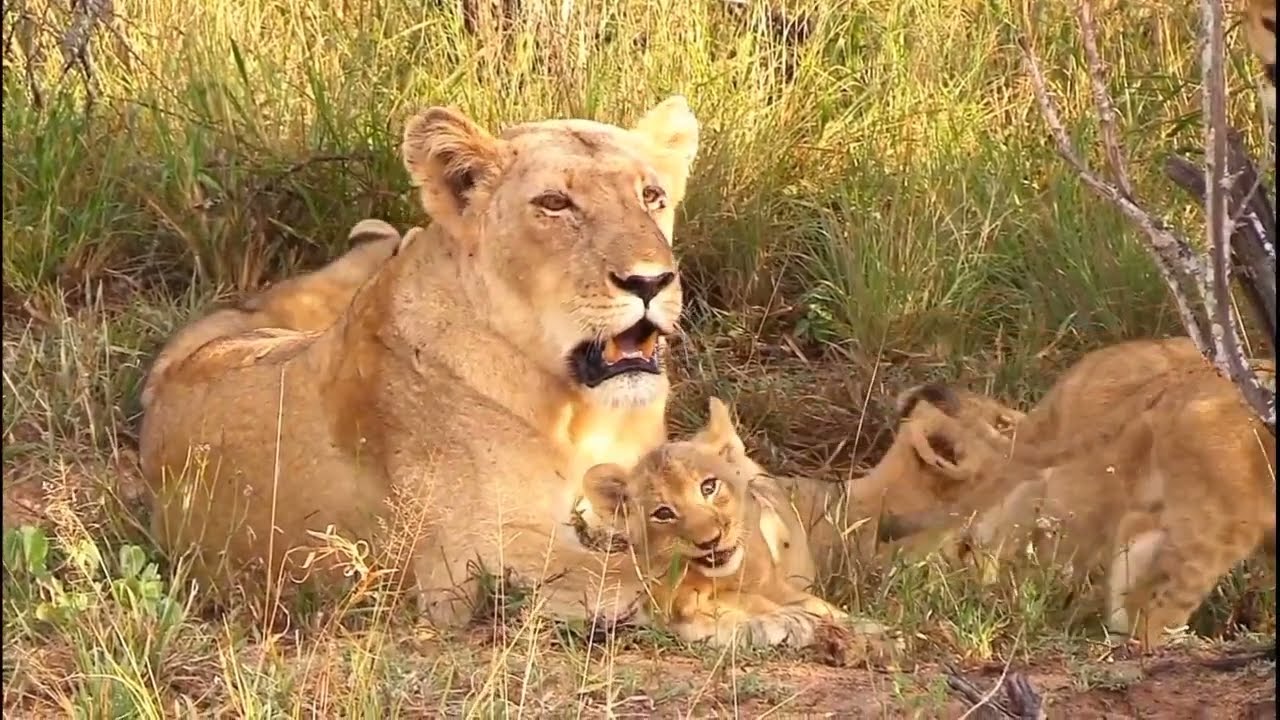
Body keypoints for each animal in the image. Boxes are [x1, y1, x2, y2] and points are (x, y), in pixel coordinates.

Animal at [140, 97, 703, 627]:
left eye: (651, 196)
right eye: (555, 203)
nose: (650, 281)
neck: (583, 411)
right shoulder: (475, 559)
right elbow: (645, 570)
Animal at [579, 398, 898, 663]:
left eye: (709, 487)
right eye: (663, 513)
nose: (710, 541)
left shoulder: (780, 588)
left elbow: (825, 610)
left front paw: (878, 636)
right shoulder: (675, 609)